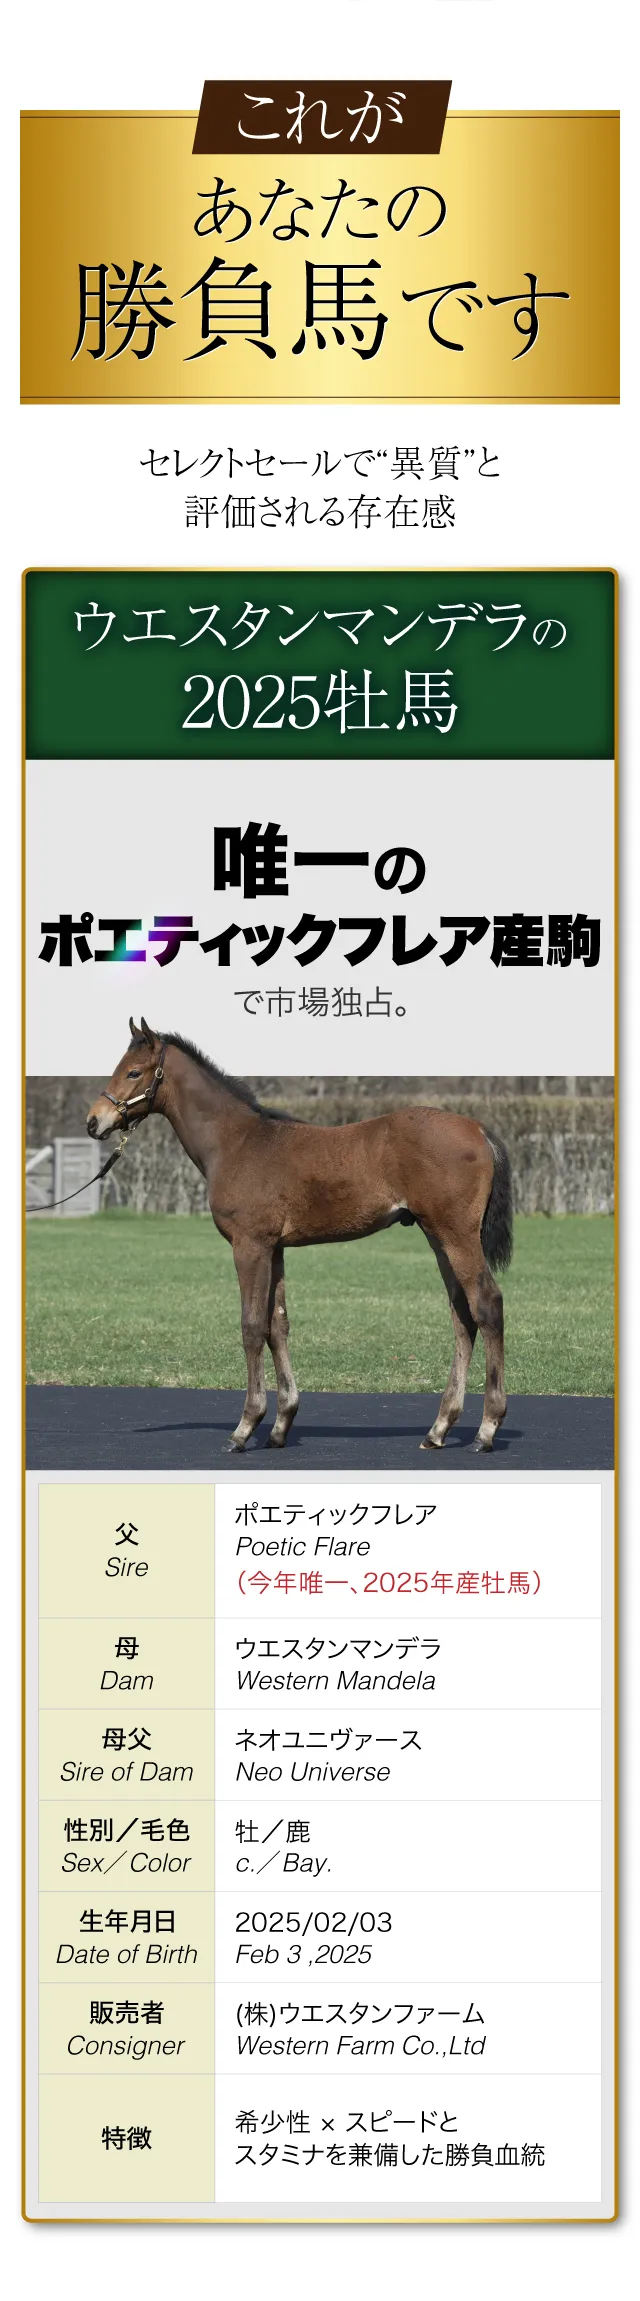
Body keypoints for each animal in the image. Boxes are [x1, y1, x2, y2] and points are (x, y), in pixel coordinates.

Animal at [86, 1019, 513, 1454]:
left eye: (133, 1072)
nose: (94, 1122)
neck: (237, 1142)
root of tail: (479, 1129)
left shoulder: (250, 1246)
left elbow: (252, 1327)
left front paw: (245, 1427)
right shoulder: (275, 1249)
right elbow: (278, 1325)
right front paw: (280, 1424)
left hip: (456, 1235)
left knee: (487, 1305)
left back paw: (486, 1429)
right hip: (438, 1237)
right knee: (462, 1315)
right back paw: (439, 1428)